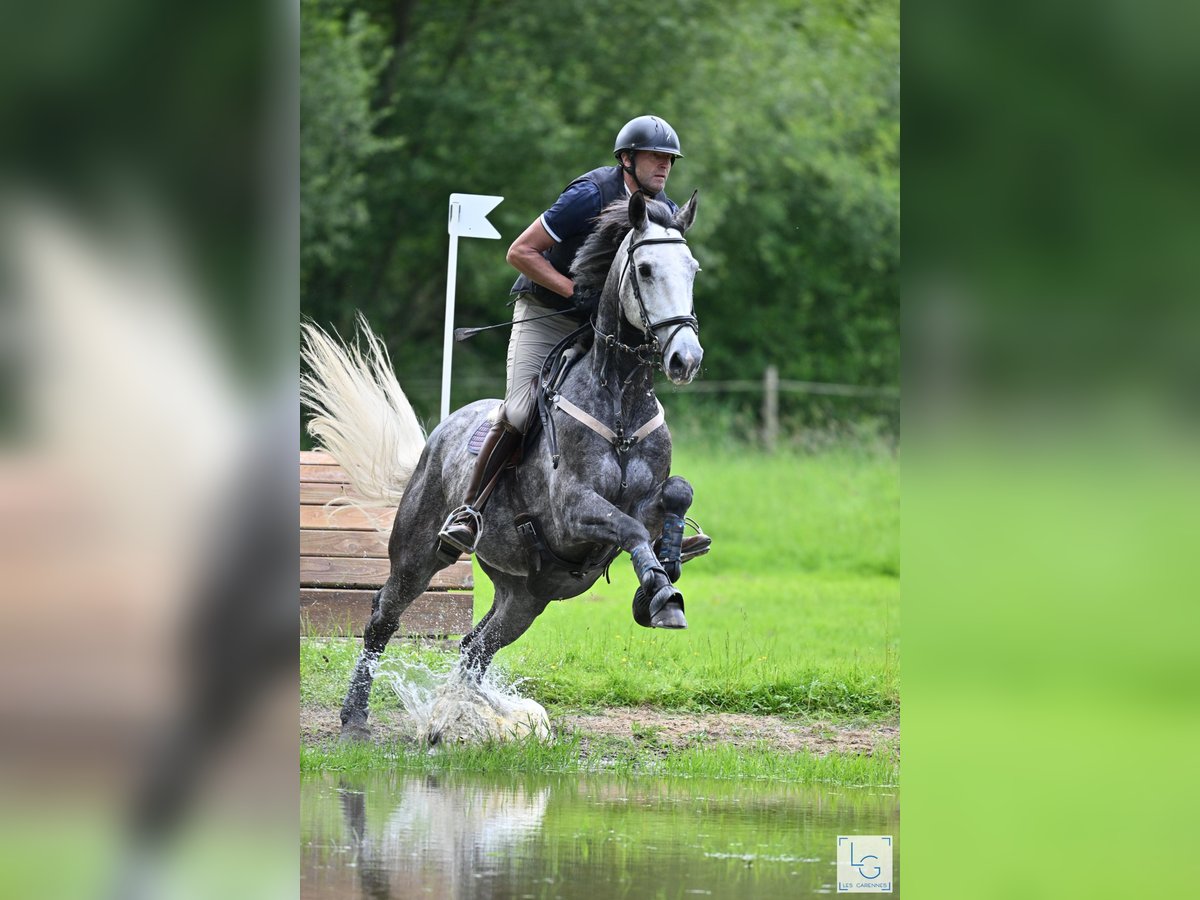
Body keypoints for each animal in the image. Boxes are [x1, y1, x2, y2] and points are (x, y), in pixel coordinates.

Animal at [304, 190, 700, 739]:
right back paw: (356, 719)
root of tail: (436, 436)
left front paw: (670, 564)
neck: (620, 397)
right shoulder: (572, 510)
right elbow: (628, 527)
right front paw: (661, 597)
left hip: (527, 594)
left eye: (692, 269)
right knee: (385, 616)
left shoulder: (644, 500)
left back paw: (462, 717)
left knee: (477, 646)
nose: (686, 358)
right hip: (419, 554)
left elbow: (675, 494)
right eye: (644, 269)